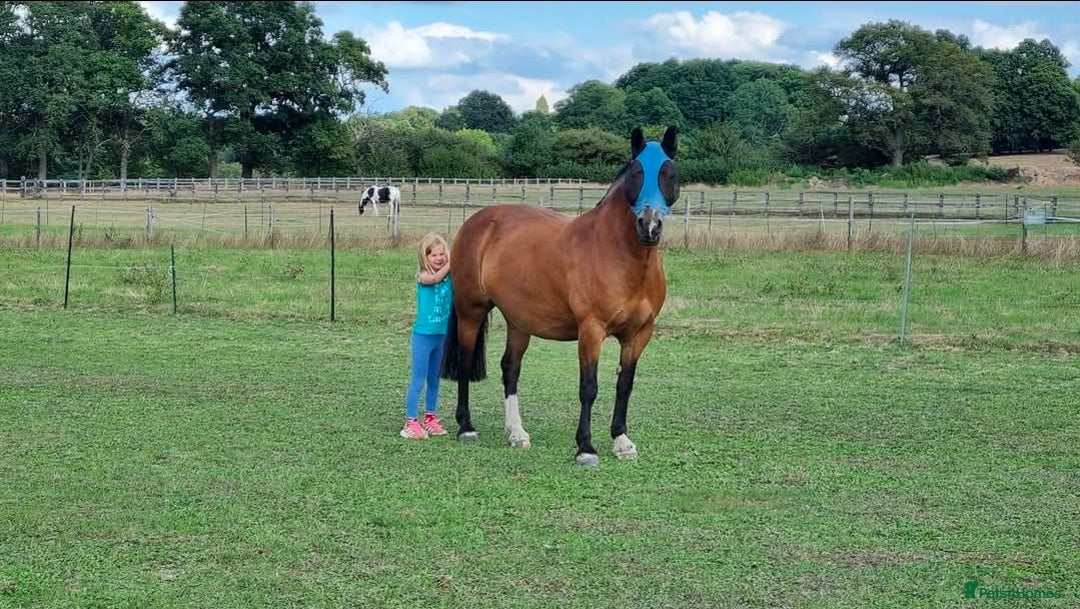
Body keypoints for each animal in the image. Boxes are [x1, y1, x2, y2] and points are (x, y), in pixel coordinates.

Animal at [440, 126, 679, 466]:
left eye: (669, 173)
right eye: (636, 172)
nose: (649, 225)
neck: (619, 255)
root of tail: (477, 222)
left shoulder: (639, 333)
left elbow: (625, 384)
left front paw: (621, 441)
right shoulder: (591, 330)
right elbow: (589, 387)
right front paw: (586, 447)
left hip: (519, 321)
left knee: (510, 369)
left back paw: (517, 433)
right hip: (471, 310)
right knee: (464, 362)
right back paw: (466, 427)